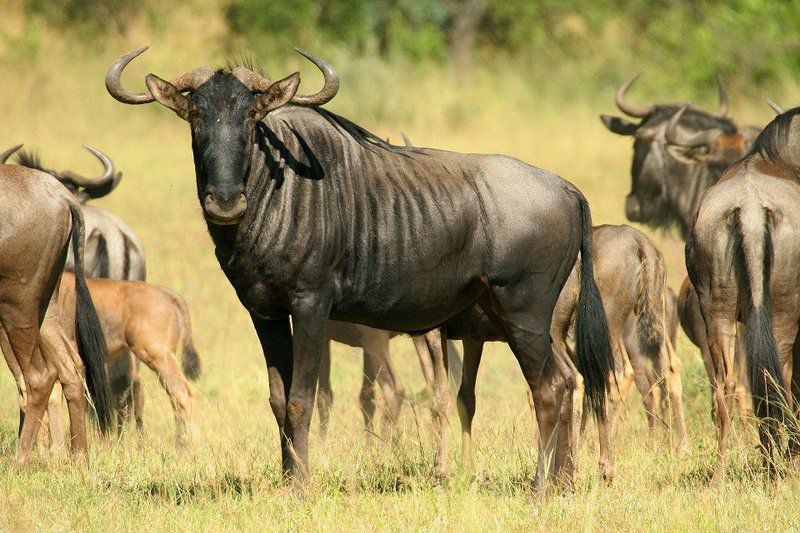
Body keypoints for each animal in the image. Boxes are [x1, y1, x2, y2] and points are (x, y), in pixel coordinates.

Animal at [0, 155, 112, 458]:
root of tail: (62, 196)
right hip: (44, 309)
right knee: (70, 368)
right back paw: (79, 457)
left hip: (17, 305)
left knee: (38, 377)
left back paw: (21, 461)